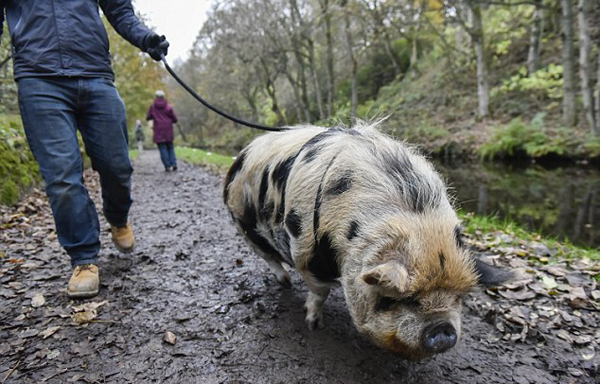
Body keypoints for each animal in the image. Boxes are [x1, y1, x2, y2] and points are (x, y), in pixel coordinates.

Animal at [223, 123, 508, 360]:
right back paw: (284, 283)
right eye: (405, 298)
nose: (442, 329)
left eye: (459, 297)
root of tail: (243, 152)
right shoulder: (307, 254)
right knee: (267, 255)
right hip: (243, 223)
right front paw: (314, 325)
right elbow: (319, 292)